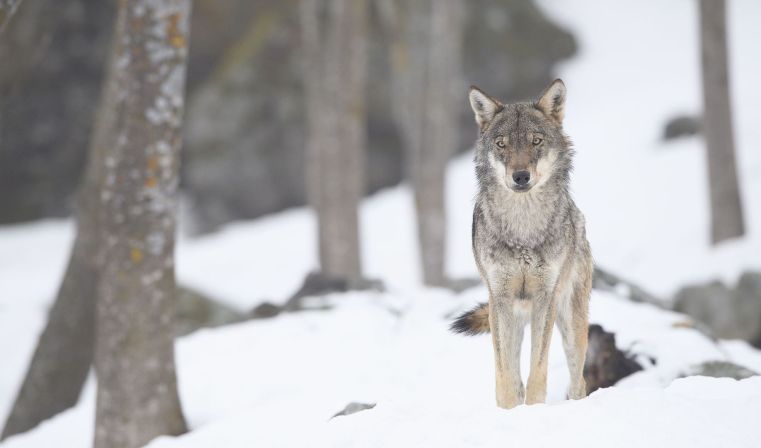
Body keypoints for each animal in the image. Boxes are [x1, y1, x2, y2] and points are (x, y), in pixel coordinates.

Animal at [452, 79, 592, 408]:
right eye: (502, 144)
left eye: (536, 141)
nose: (520, 176)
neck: (523, 229)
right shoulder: (500, 298)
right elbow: (505, 377)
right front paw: (509, 411)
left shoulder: (545, 298)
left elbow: (537, 372)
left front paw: (534, 410)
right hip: (511, 317)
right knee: (514, 375)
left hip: (571, 324)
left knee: (578, 380)